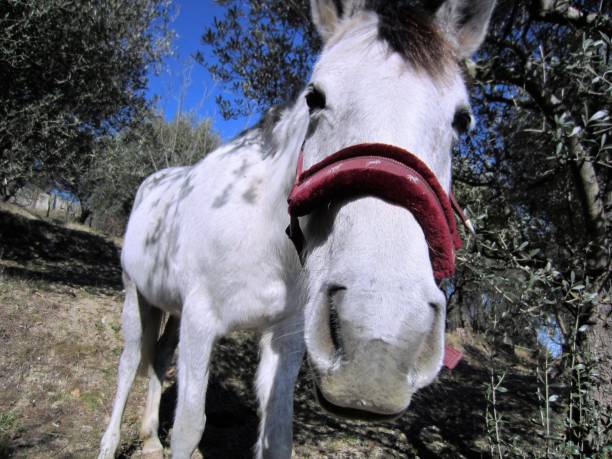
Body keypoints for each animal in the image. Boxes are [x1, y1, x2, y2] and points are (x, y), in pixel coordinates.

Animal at [98, 1, 494, 458]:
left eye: (462, 120)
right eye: (314, 97)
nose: (378, 344)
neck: (265, 240)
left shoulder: (284, 339)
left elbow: (277, 436)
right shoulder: (200, 321)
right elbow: (189, 427)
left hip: (170, 305)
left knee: (159, 357)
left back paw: (148, 440)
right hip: (135, 293)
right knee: (129, 362)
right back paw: (109, 444)